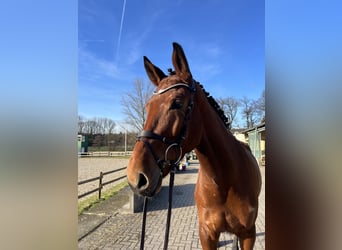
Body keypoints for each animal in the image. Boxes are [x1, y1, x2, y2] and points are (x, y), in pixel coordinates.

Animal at [126, 42, 262, 248]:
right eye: (148, 106)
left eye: (176, 103)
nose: (136, 177)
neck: (225, 181)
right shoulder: (207, 233)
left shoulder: (248, 233)